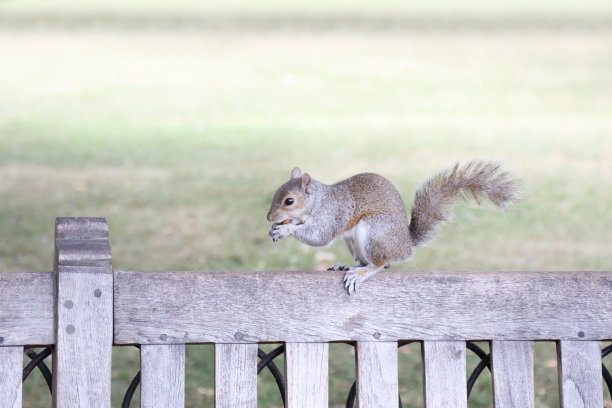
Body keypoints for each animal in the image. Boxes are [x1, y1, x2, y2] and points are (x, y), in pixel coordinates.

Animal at [266, 159, 520, 294]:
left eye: (289, 201)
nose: (269, 217)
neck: (318, 201)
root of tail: (405, 244)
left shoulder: (332, 214)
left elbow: (320, 236)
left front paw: (286, 229)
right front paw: (278, 228)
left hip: (374, 231)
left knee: (380, 263)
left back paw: (360, 274)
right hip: (354, 242)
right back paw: (347, 266)